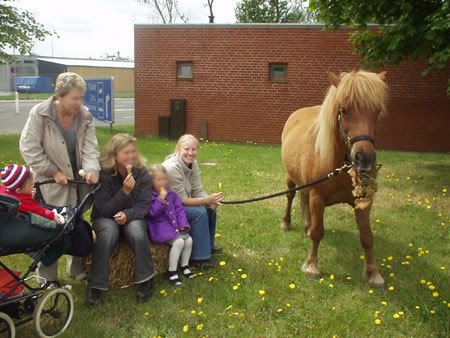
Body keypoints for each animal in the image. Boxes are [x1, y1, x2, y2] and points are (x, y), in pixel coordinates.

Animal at [284, 70, 388, 286]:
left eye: (377, 111)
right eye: (344, 110)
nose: (364, 158)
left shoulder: (362, 202)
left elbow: (367, 238)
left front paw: (373, 273)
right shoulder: (317, 197)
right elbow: (318, 232)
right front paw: (312, 266)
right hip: (290, 179)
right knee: (289, 197)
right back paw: (286, 223)